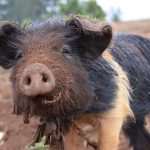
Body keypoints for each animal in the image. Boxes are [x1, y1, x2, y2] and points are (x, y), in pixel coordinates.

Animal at [0, 15, 134, 150]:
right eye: (19, 56)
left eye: (65, 50)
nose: (34, 68)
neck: (81, 112)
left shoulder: (115, 109)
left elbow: (107, 141)